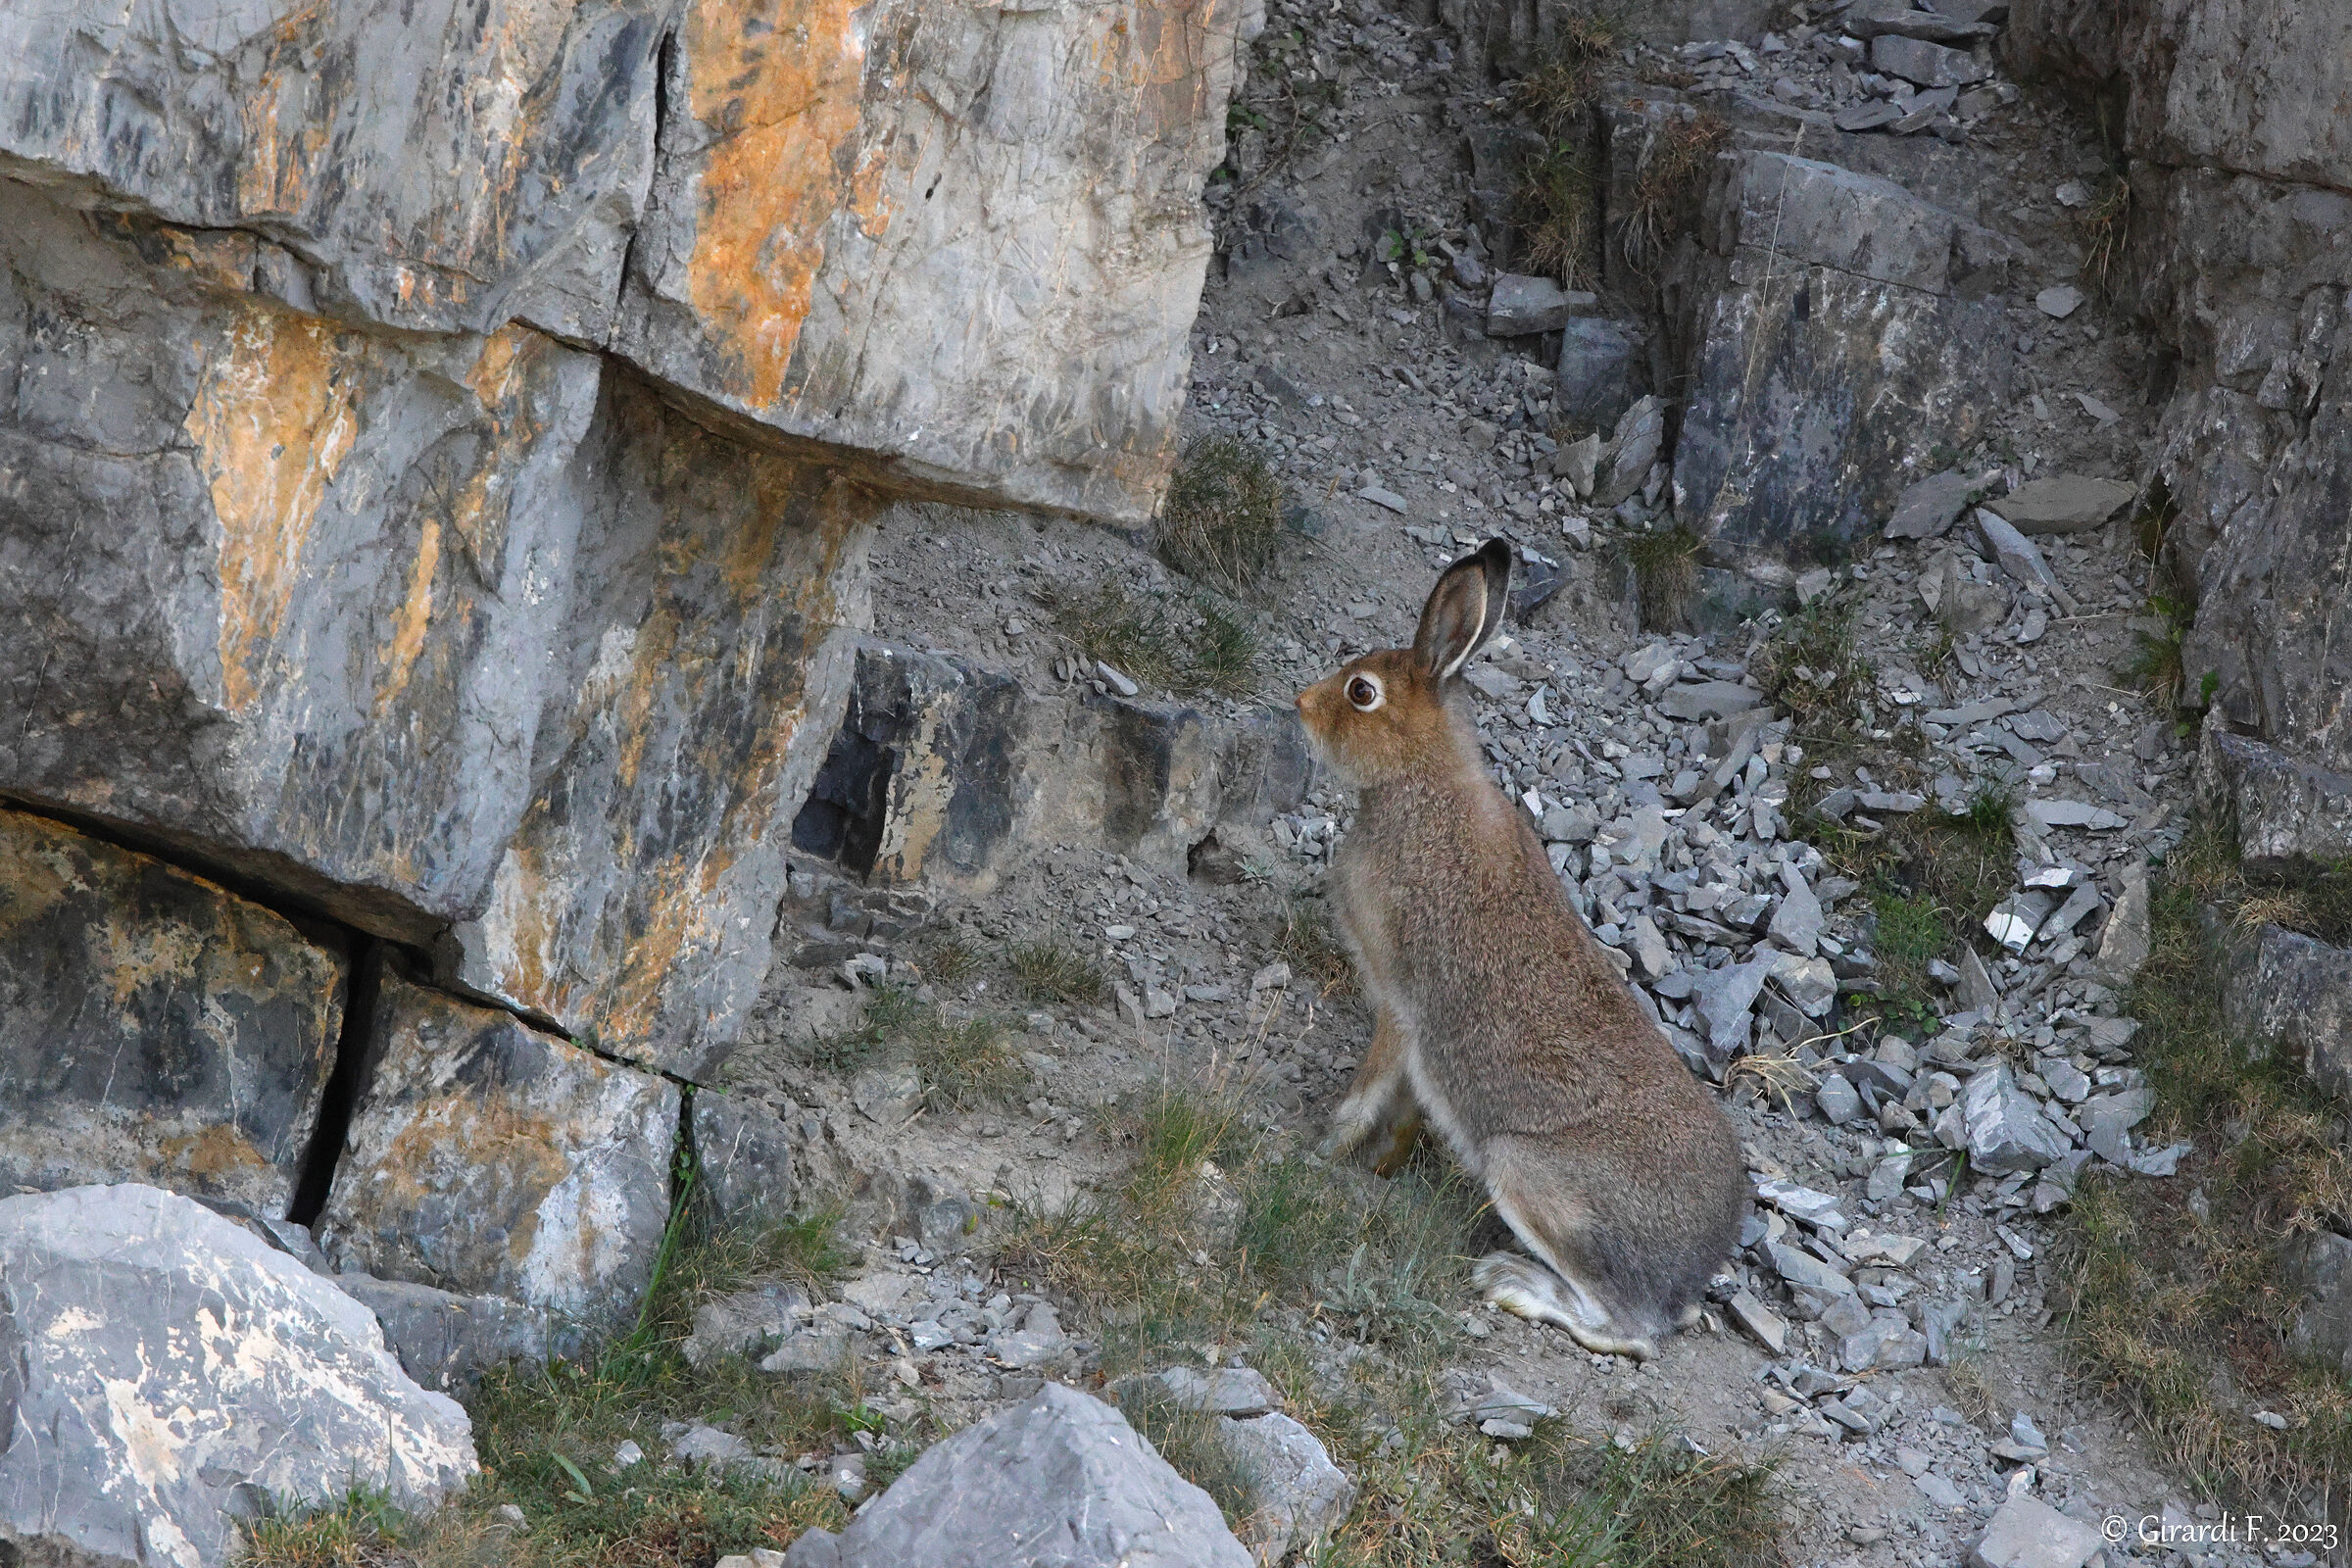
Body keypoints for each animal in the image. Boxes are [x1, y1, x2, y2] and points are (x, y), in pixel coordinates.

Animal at [1293, 538, 1747, 1360]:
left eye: (1361, 692)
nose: (1300, 706)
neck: (1418, 781)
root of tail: (1691, 1273)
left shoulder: (1400, 1002)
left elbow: (1370, 1085)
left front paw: (1323, 1146)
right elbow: (1405, 1106)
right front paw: (1379, 1164)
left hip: (1527, 1171)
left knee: (1629, 1331)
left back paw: (1512, 1283)